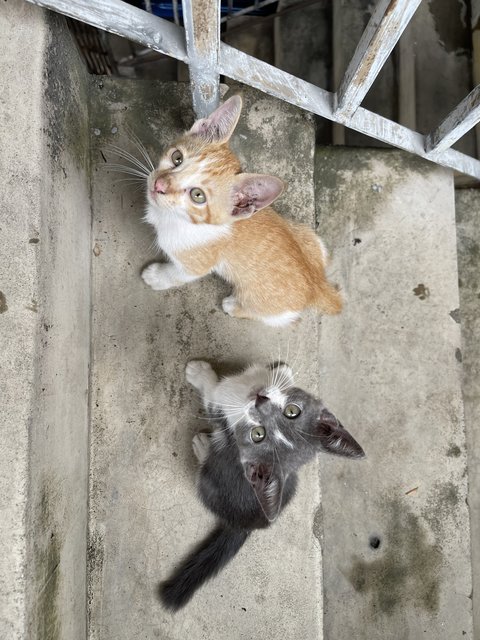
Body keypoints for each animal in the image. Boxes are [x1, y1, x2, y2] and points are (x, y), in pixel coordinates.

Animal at [142, 96, 342, 324]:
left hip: (268, 305)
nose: (158, 185)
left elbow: (176, 275)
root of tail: (318, 286)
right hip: (310, 236)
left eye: (197, 195)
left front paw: (157, 276)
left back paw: (234, 306)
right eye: (177, 158)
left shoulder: (195, 264)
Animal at [159, 360, 366, 608]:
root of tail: (245, 524)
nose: (260, 400)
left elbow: (212, 395)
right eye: (292, 411)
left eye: (257, 434)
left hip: (209, 480)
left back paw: (202, 446)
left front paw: (199, 373)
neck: (247, 387)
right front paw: (281, 371)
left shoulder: (221, 411)